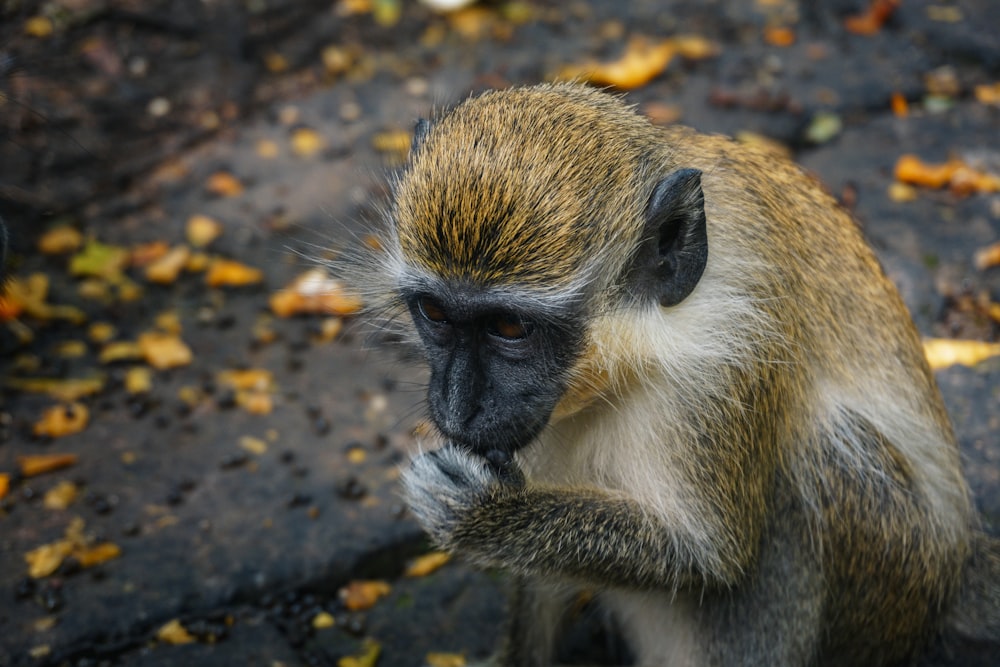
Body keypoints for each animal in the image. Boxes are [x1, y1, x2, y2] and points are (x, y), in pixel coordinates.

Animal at [352, 85, 1000, 667]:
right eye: (435, 314)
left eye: (511, 328)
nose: (456, 408)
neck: (642, 346)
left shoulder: (731, 357)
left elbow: (712, 555)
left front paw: (484, 515)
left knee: (827, 453)